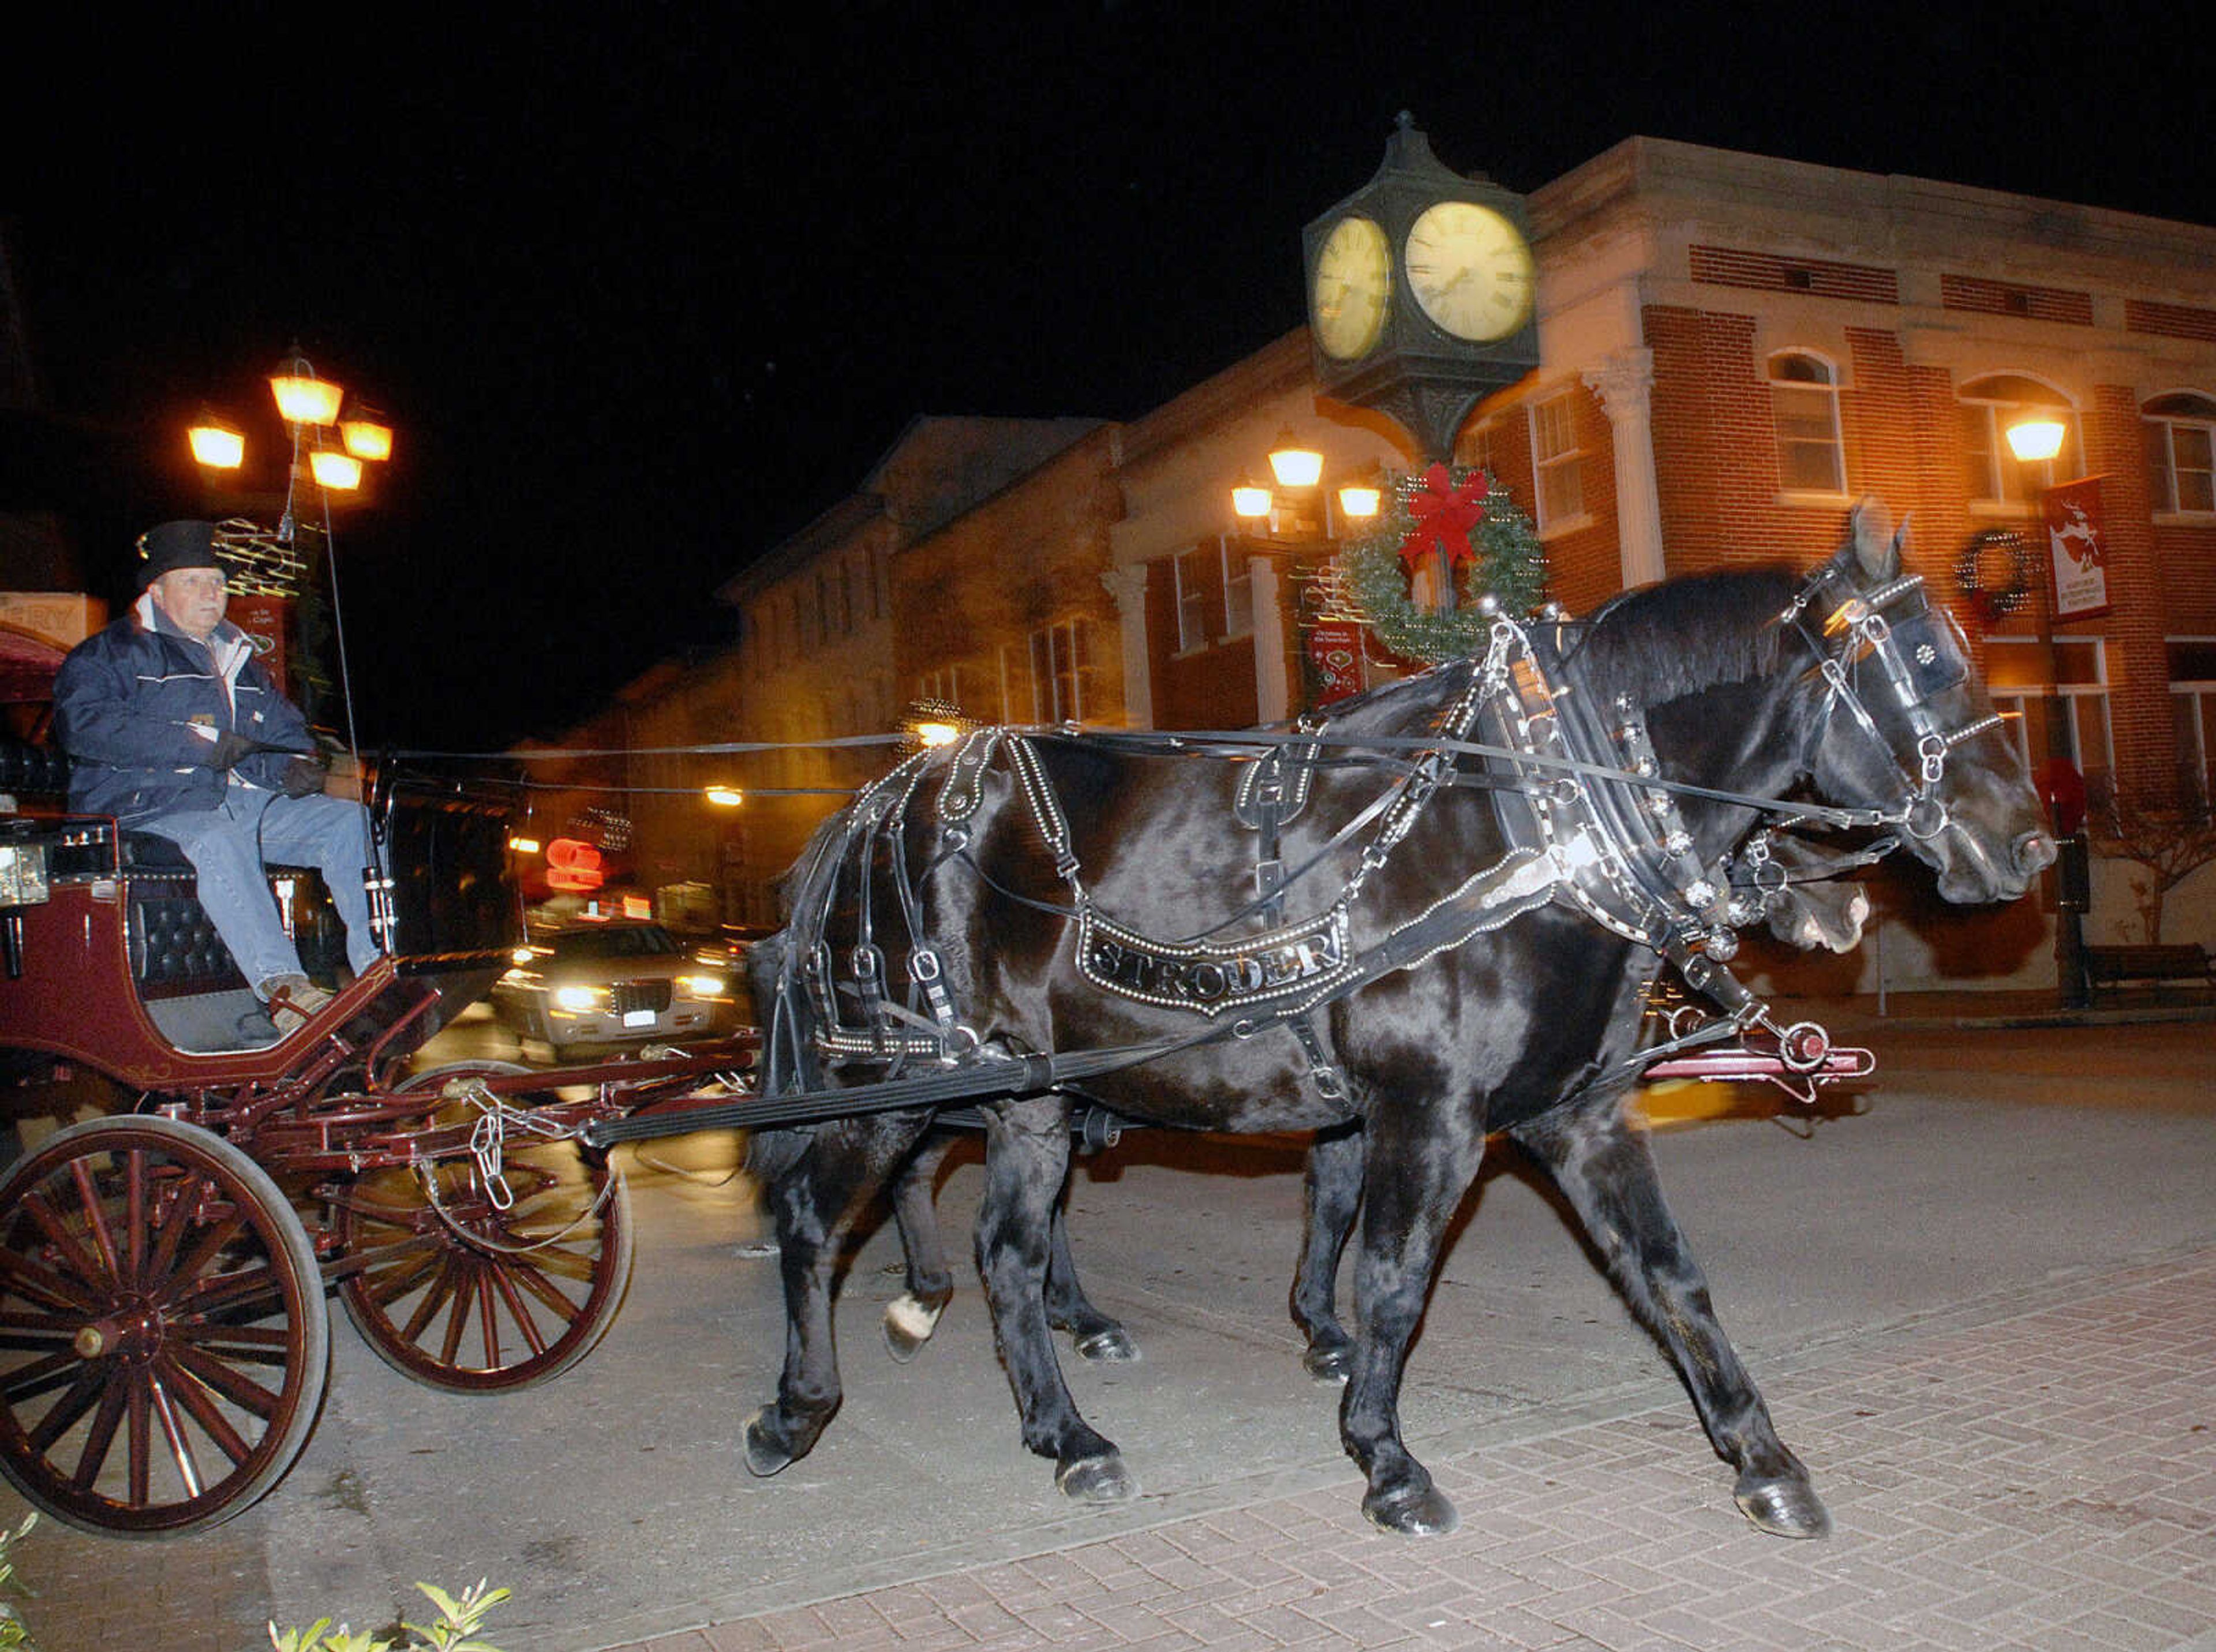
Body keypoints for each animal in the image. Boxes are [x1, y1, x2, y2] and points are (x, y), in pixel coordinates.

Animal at [740, 511, 2038, 1532]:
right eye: (1926, 662)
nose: (2025, 843)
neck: (1537, 820)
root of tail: (881, 798)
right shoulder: (1430, 1113)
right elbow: (1395, 1279)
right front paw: (1384, 1453)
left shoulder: (1580, 1113)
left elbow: (1670, 1274)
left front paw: (1761, 1454)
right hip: (893, 1073)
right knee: (816, 1216)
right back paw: (797, 1407)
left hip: (1030, 1096)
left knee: (1008, 1253)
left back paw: (1068, 1434)